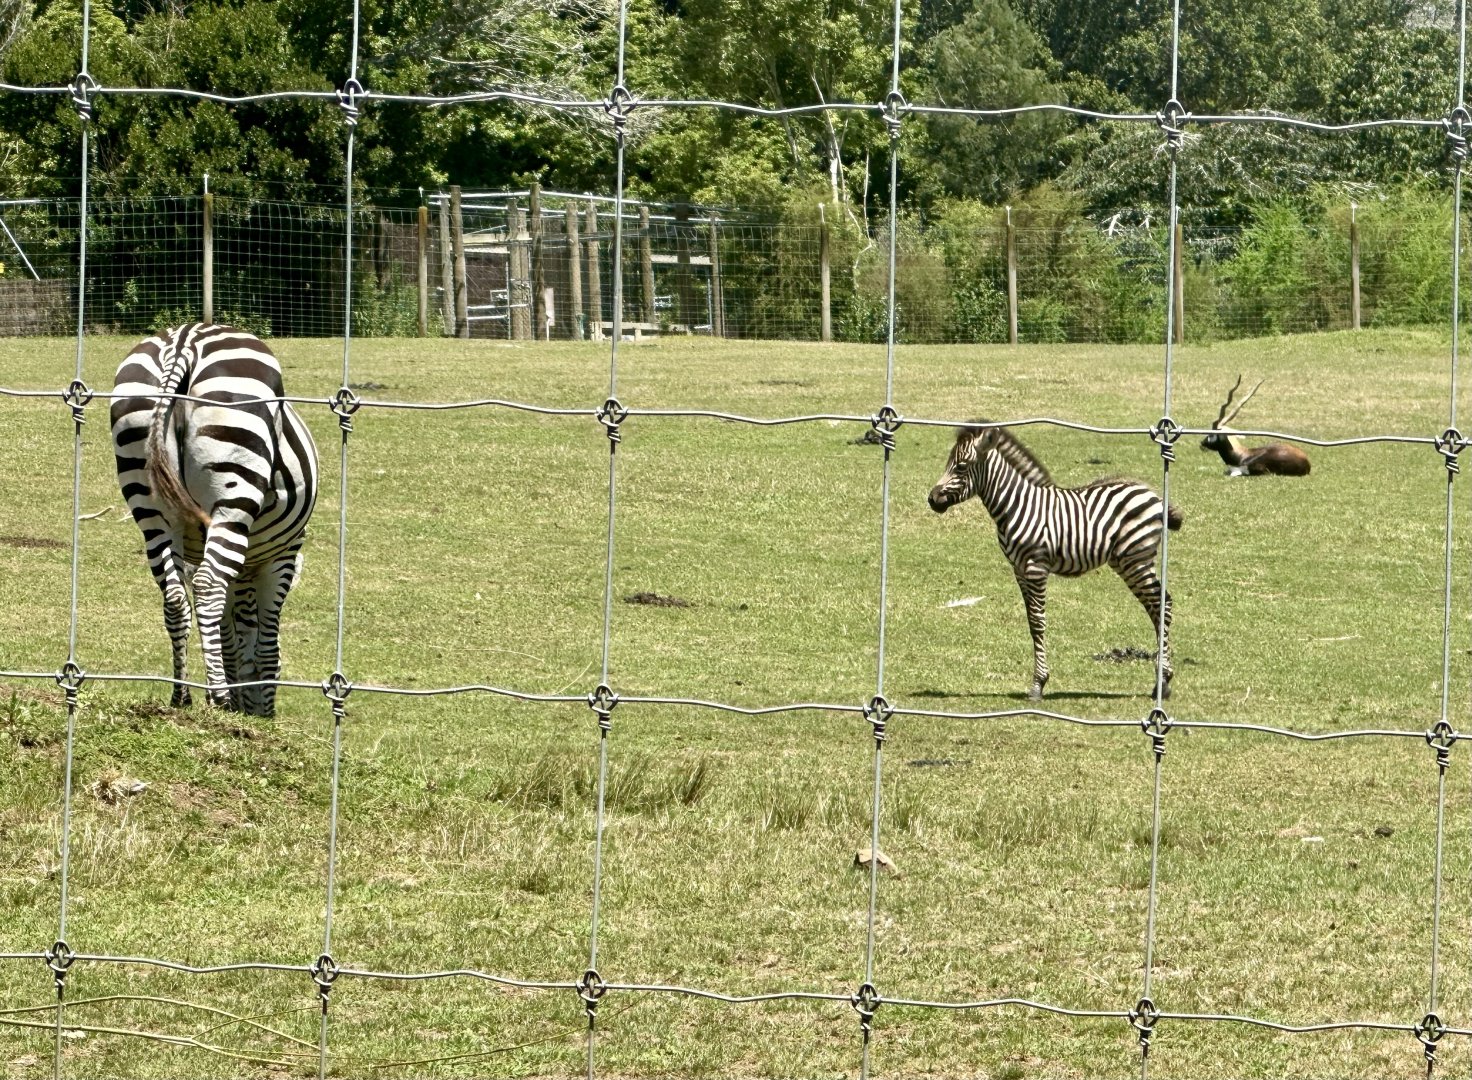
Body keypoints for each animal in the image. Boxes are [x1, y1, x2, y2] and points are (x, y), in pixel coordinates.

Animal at [110, 324, 319, 718]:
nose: (261, 716)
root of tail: (185, 340)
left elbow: (231, 636)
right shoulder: (283, 556)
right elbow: (265, 643)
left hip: (148, 495)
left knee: (175, 597)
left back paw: (181, 695)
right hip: (232, 491)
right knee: (207, 586)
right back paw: (217, 695)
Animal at [928, 422, 1182, 700]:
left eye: (961, 466)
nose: (932, 499)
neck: (1015, 506)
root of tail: (1153, 495)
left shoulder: (1036, 567)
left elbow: (1038, 622)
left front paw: (1038, 684)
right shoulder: (1018, 569)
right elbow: (1031, 622)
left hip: (1136, 560)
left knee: (1162, 605)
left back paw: (1163, 682)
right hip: (1128, 562)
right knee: (1157, 606)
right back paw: (1162, 680)